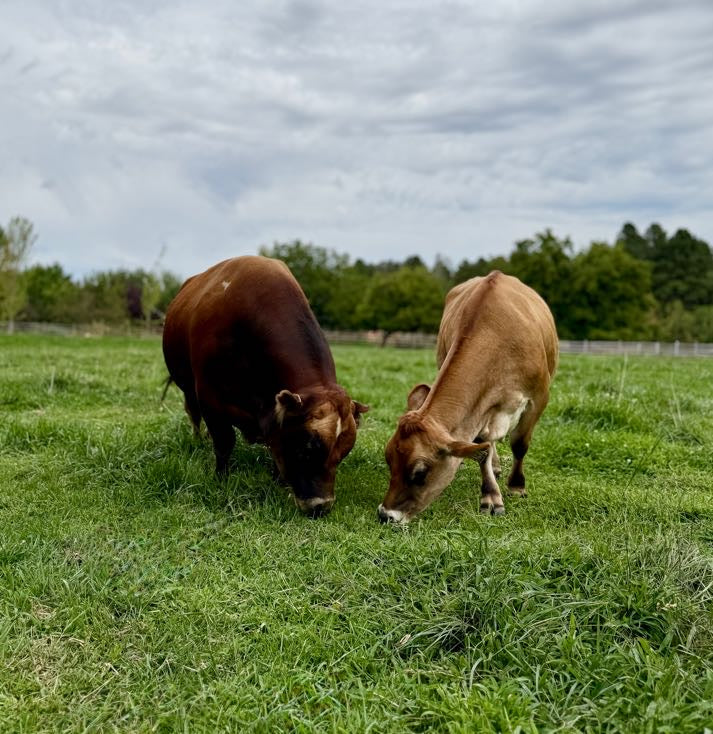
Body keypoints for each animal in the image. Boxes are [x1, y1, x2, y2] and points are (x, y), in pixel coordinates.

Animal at [162, 255, 368, 517]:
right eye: (306, 448)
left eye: (344, 453)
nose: (320, 506)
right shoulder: (209, 398)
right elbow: (224, 442)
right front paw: (221, 478)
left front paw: (278, 480)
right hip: (188, 389)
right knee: (194, 415)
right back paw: (199, 440)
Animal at [378, 271, 557, 523]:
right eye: (389, 460)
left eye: (420, 472)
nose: (385, 515)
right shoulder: (479, 408)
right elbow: (482, 449)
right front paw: (491, 497)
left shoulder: (539, 397)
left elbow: (520, 444)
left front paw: (516, 486)